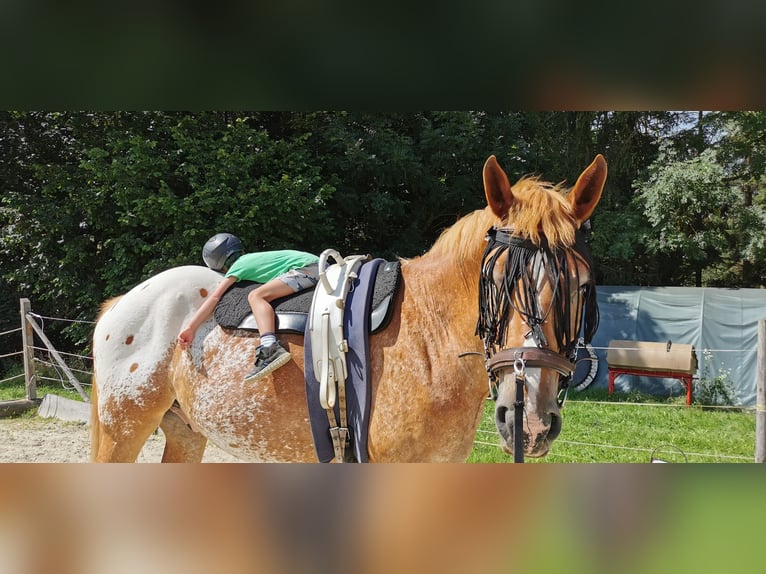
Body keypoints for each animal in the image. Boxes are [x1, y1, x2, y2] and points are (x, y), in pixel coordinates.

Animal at [90, 153, 608, 464]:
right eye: (497, 285)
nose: (530, 419)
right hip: (122, 432)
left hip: (185, 432)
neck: (430, 338)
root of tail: (121, 305)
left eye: (582, 287)